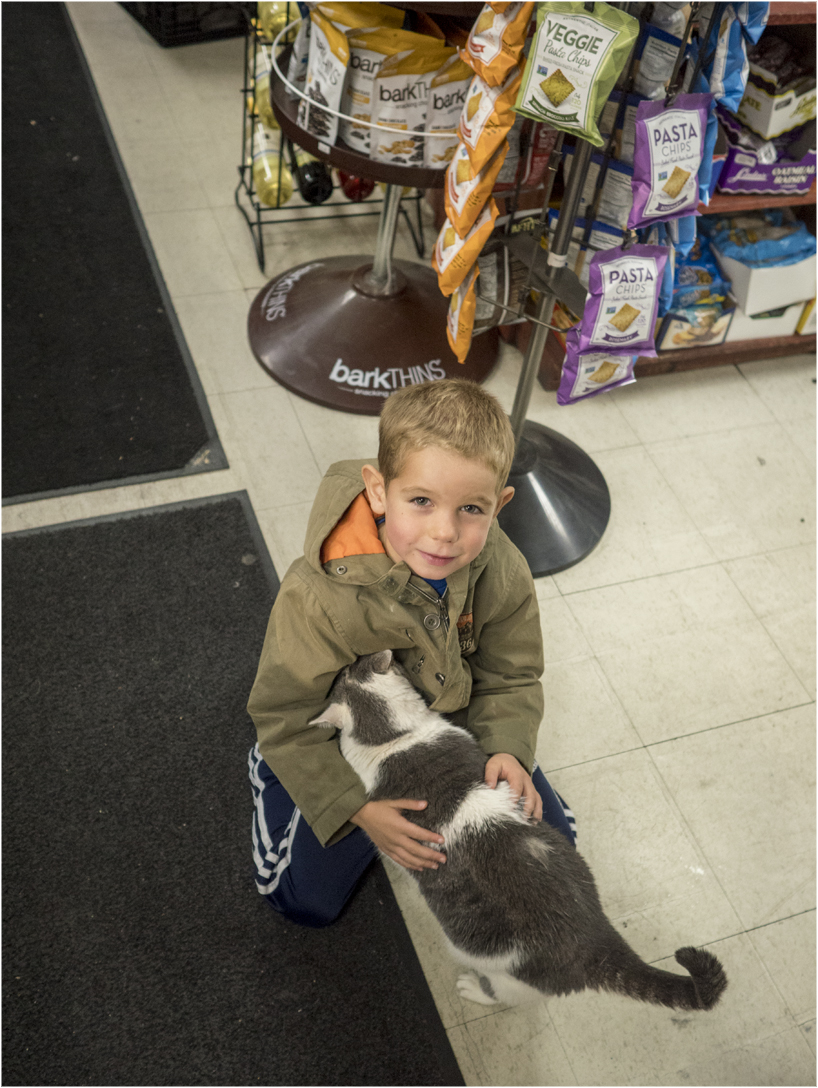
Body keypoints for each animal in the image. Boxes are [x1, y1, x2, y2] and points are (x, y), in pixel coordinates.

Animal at [310, 650, 728, 1011]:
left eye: (343, 672)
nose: (349, 661)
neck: (394, 734)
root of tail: (597, 940)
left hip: (498, 966)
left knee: (506, 996)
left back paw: (475, 989)